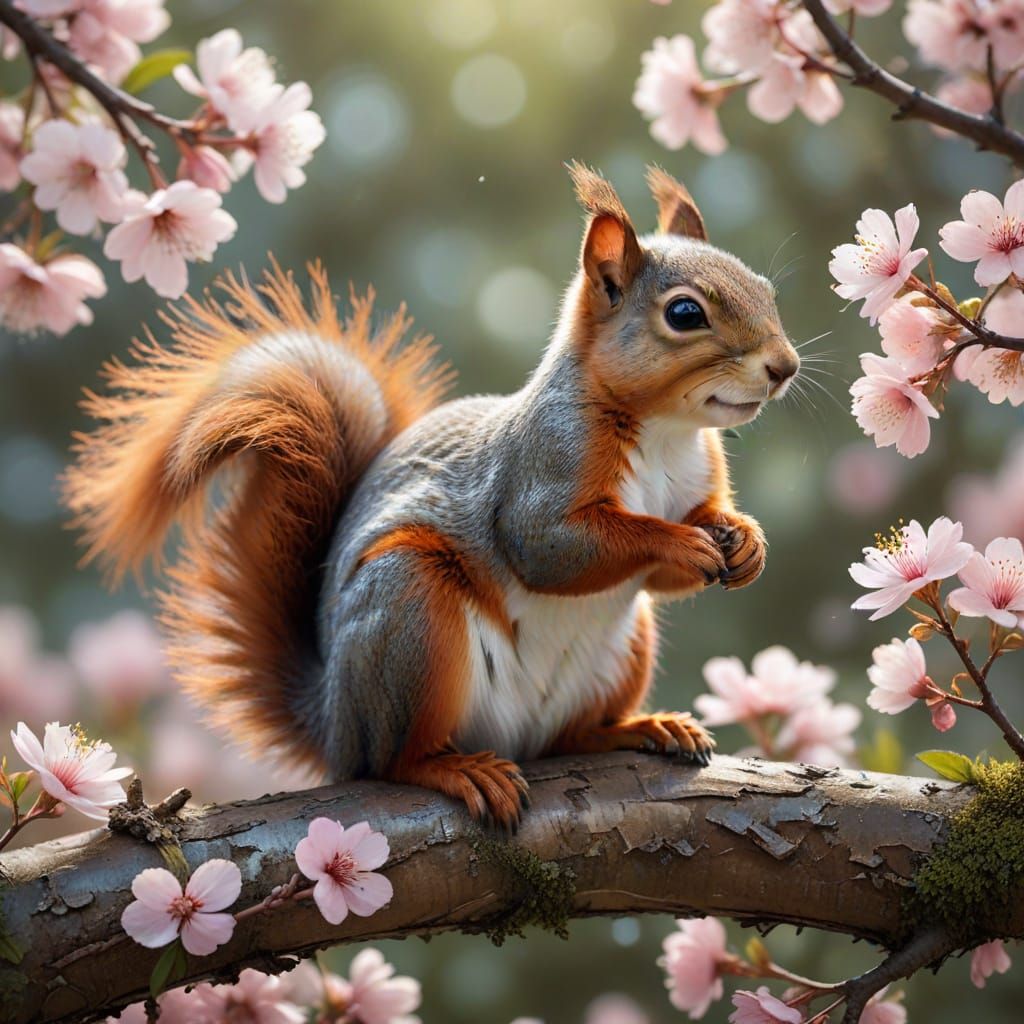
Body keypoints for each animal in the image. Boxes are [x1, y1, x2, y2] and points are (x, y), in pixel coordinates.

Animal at [64, 163, 799, 830]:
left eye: (767, 290)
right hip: (410, 612)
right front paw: (680, 543)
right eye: (685, 313)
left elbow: (688, 541)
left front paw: (746, 541)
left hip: (620, 651)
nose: (785, 367)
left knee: (568, 736)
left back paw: (639, 728)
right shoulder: (541, 468)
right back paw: (458, 769)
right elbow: (551, 547)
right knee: (396, 759)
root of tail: (333, 723)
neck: (666, 431)